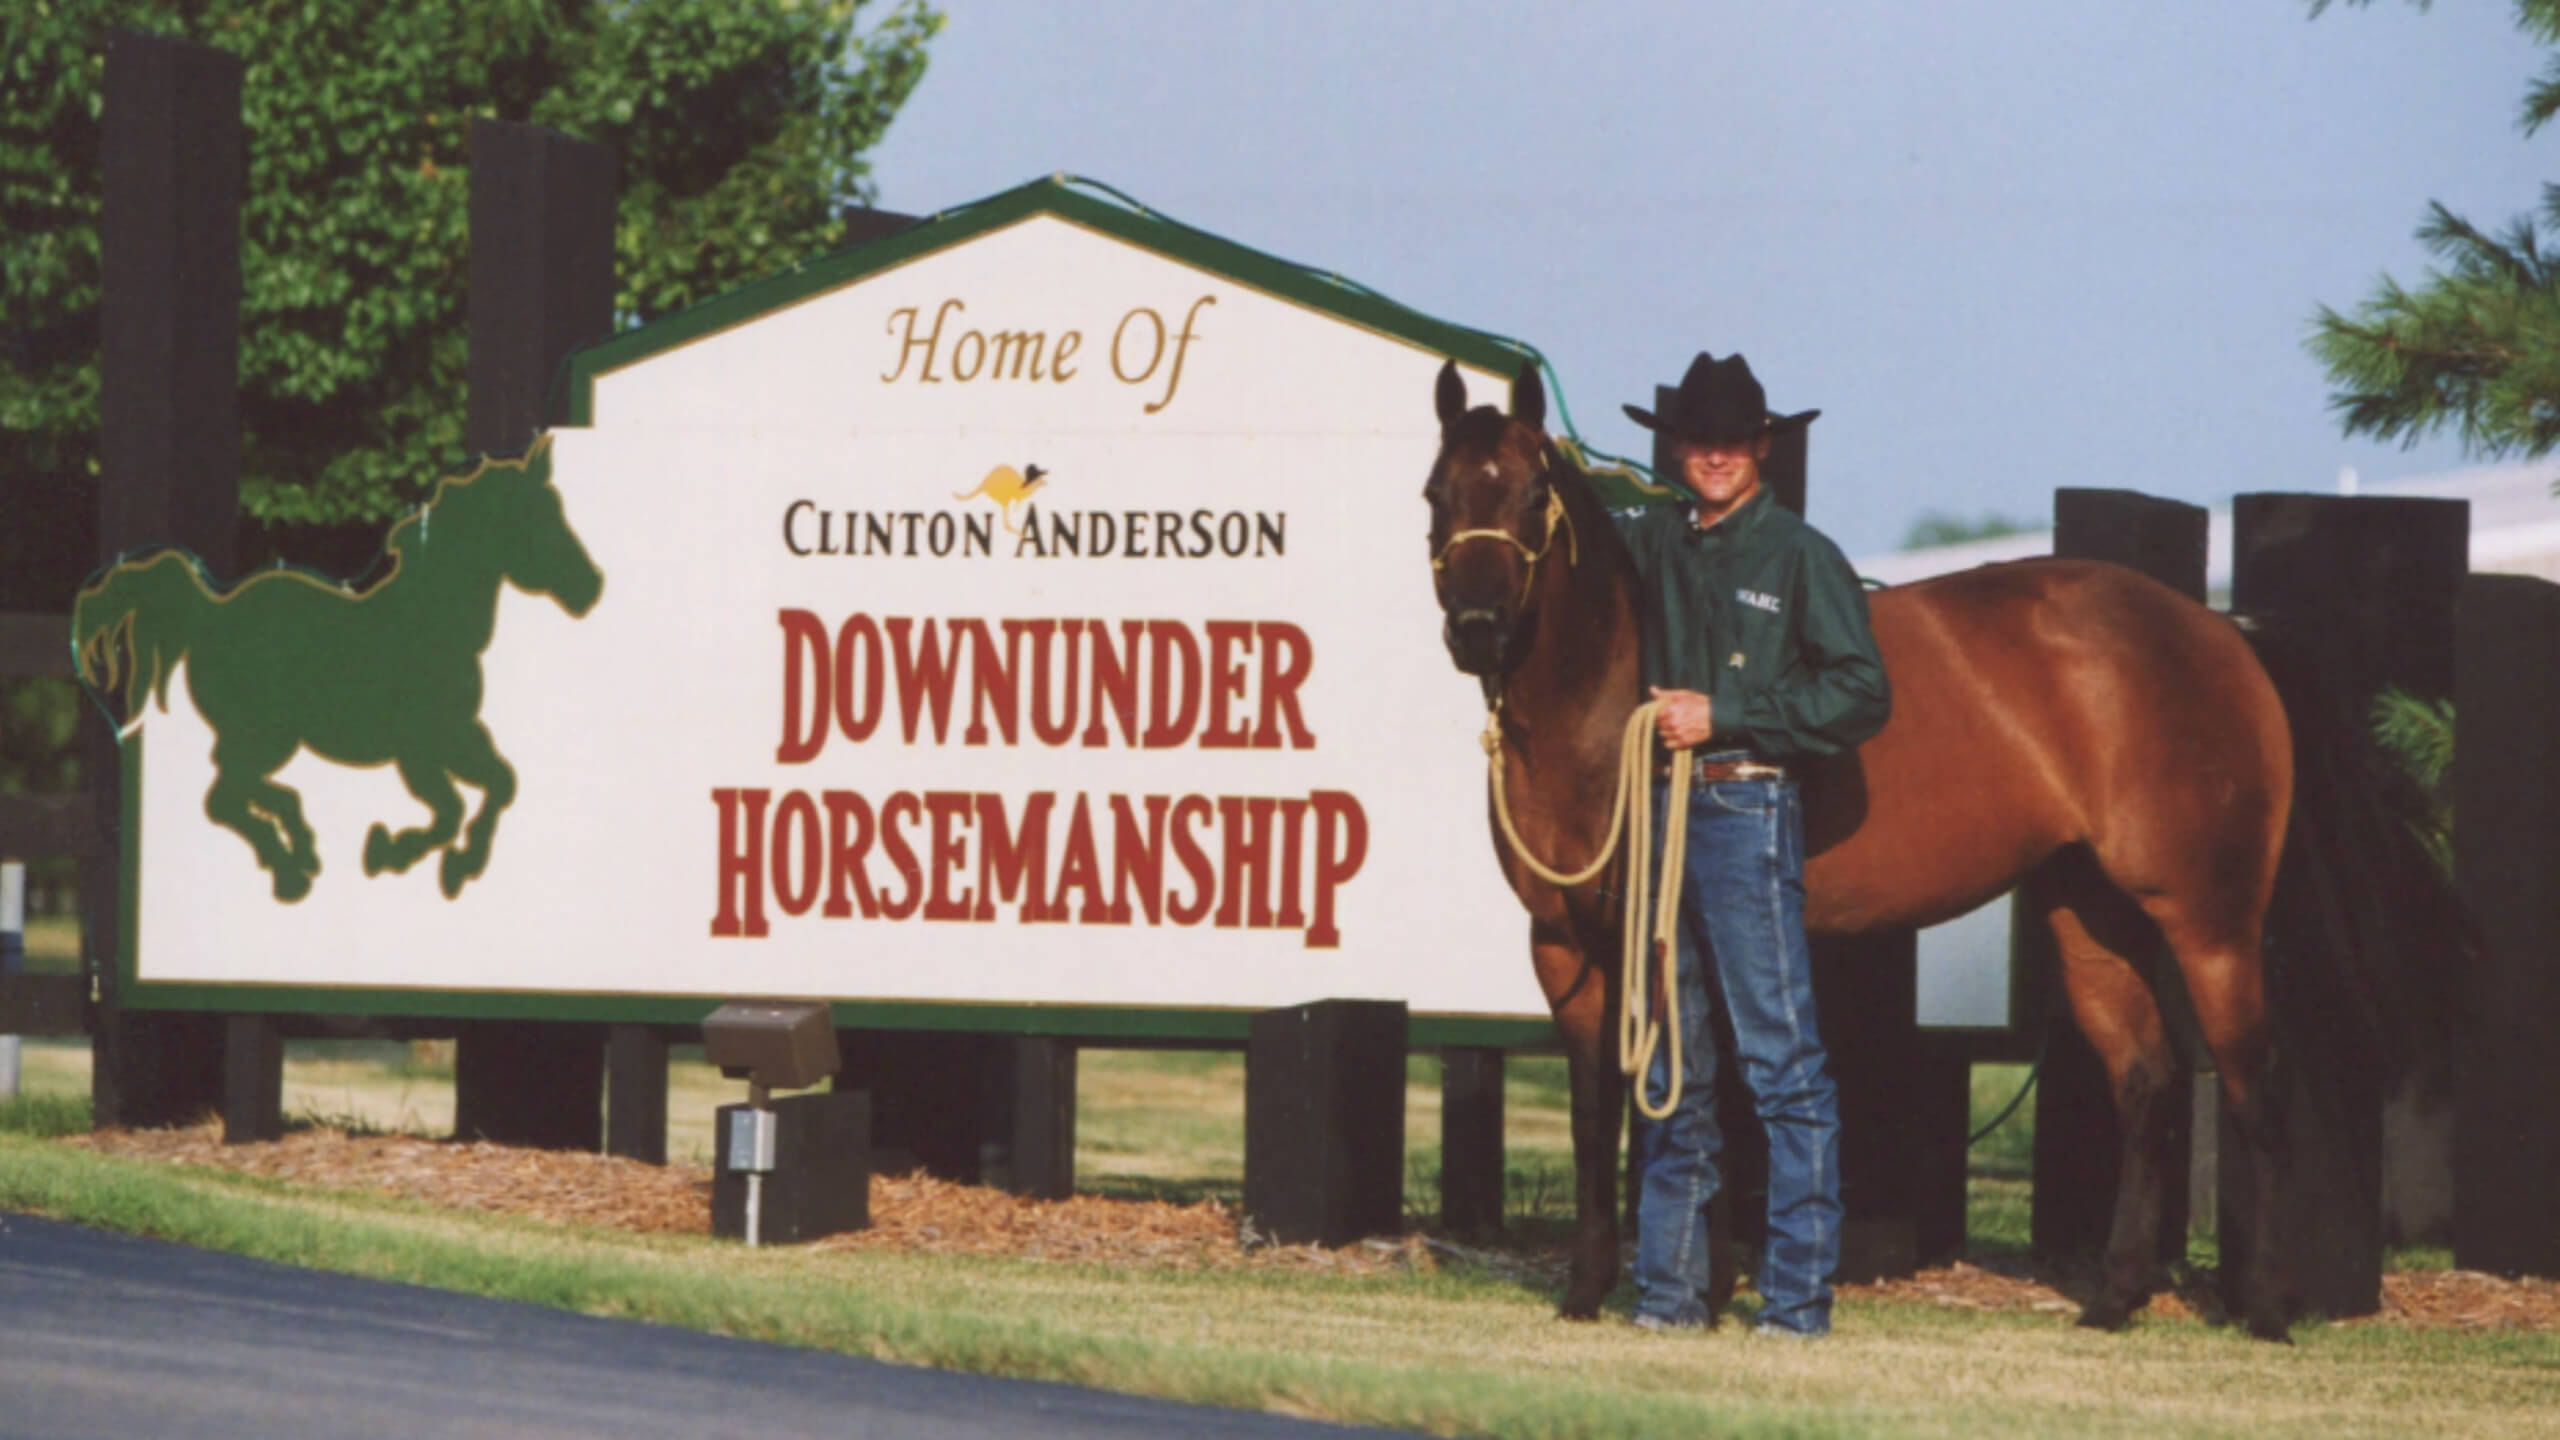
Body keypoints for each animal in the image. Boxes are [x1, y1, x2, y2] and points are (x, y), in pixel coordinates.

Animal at [1423, 356, 2304, 1332]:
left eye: (1533, 492)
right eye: (1436, 492)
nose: (1477, 629)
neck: (1606, 707)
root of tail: (2216, 633)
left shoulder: (1655, 938)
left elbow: (1676, 1105)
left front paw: (1702, 1283)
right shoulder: (1565, 945)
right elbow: (1597, 1110)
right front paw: (1592, 1289)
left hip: (2210, 921)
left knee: (2254, 1086)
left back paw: (2267, 1307)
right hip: (2092, 915)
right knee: (2147, 1082)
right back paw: (2113, 1297)